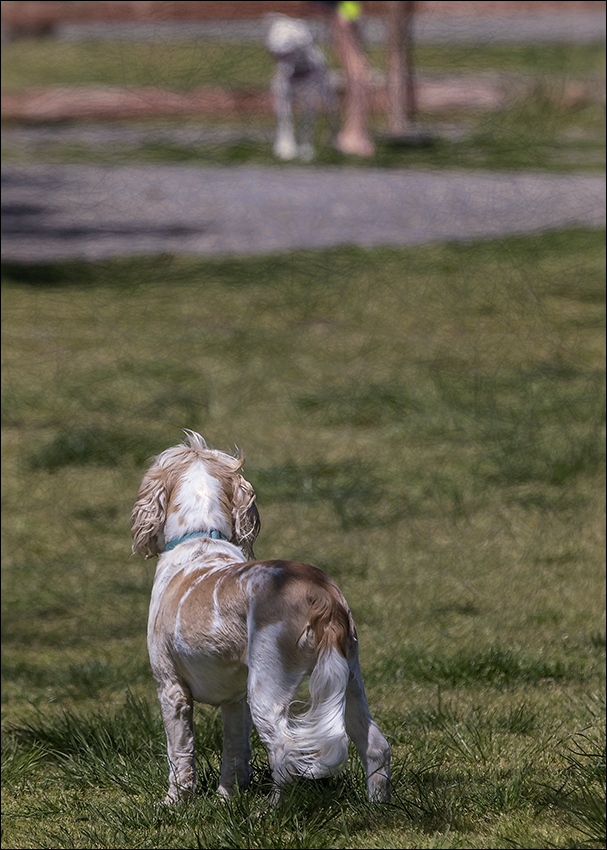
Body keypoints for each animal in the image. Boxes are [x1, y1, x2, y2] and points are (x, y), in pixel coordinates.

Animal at [131, 430, 392, 800]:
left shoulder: (171, 689)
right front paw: (227, 798)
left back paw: (269, 808)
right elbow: (235, 752)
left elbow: (179, 754)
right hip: (348, 679)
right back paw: (376, 805)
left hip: (268, 690)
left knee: (285, 753)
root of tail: (320, 595)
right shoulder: (234, 700)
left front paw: (174, 802)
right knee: (375, 745)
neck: (201, 537)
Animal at [266, 13, 338, 161]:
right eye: (276, 32)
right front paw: (286, 149)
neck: (298, 70)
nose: (275, 48)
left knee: (332, 116)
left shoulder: (310, 99)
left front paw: (306, 151)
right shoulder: (284, 97)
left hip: (329, 99)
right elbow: (286, 121)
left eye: (290, 36)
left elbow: (307, 123)